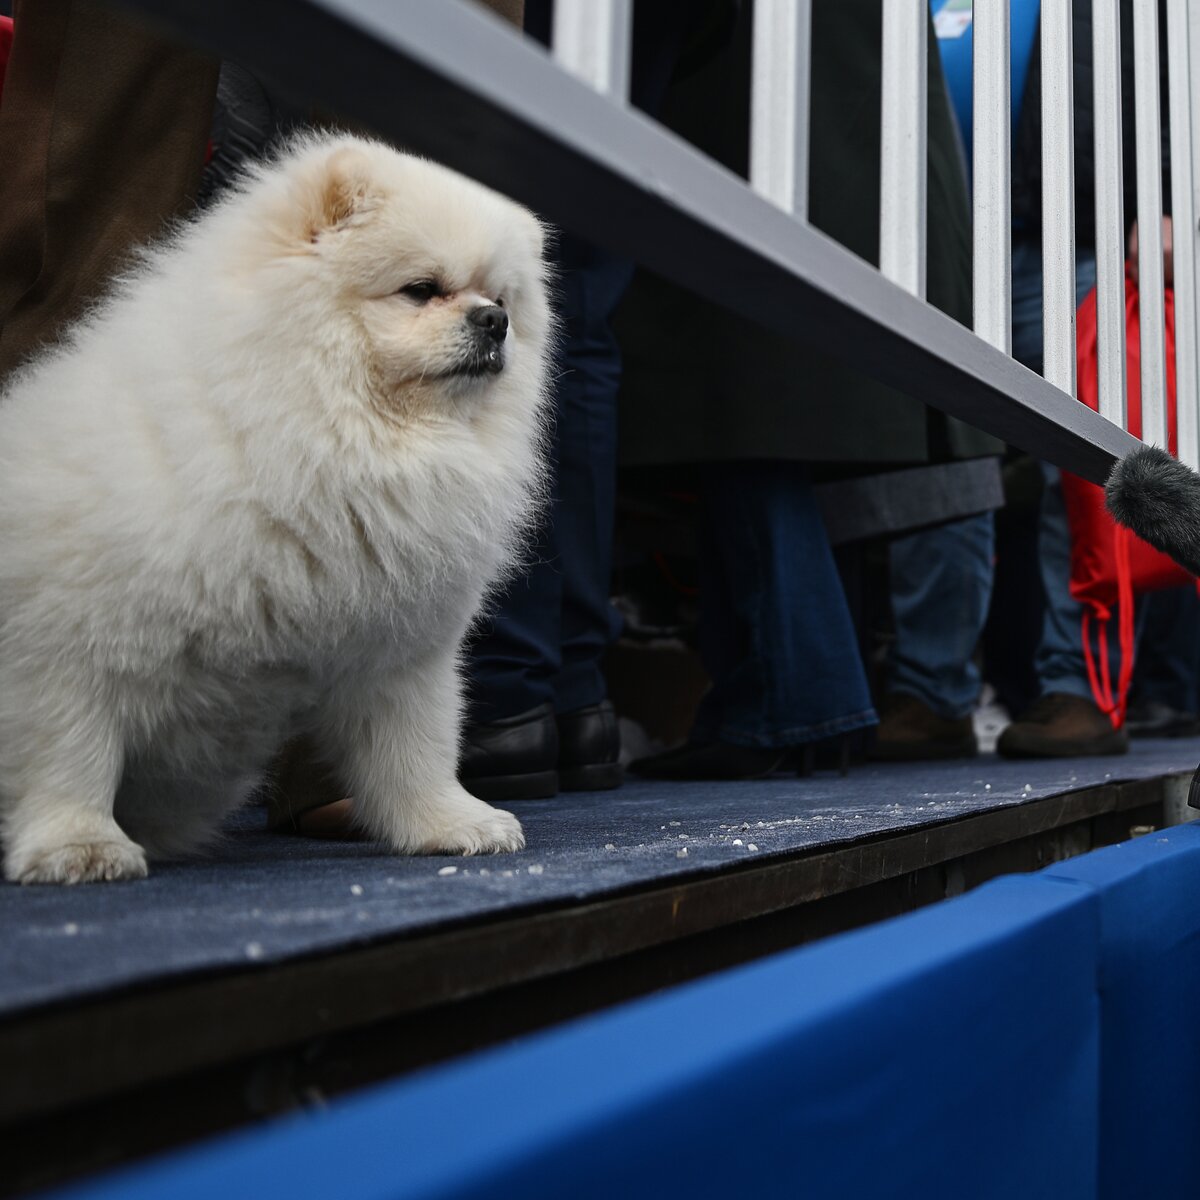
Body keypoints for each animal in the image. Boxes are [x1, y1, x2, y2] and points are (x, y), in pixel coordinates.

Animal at [0, 133, 552, 883]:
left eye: (501, 298)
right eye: (421, 290)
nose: (494, 322)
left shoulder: (401, 651)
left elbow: (416, 752)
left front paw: (449, 824)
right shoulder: (66, 639)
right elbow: (71, 754)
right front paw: (79, 845)